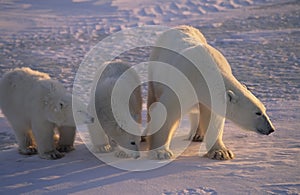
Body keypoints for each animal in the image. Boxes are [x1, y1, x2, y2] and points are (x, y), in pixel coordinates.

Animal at [146, 25, 276, 160]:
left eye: (264, 109)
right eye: (257, 113)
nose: (271, 129)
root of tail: (179, 27)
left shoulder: (210, 98)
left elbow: (214, 121)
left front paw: (221, 152)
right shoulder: (183, 84)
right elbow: (167, 111)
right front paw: (160, 152)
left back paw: (198, 135)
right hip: (155, 67)